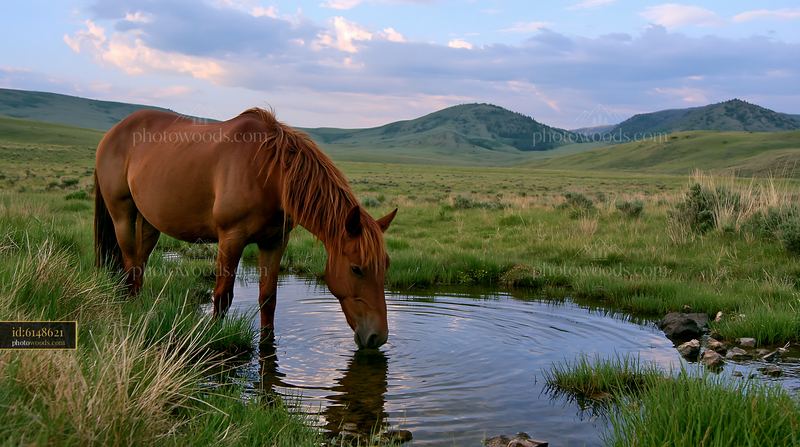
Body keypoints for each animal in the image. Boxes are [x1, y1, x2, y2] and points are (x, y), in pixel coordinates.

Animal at [93, 107, 397, 349]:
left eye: (386, 265)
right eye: (356, 268)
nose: (377, 337)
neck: (270, 174)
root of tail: (112, 133)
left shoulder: (275, 242)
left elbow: (268, 298)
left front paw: (267, 343)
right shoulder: (231, 238)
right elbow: (222, 296)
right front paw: (215, 338)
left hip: (149, 221)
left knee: (140, 262)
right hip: (122, 213)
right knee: (130, 262)